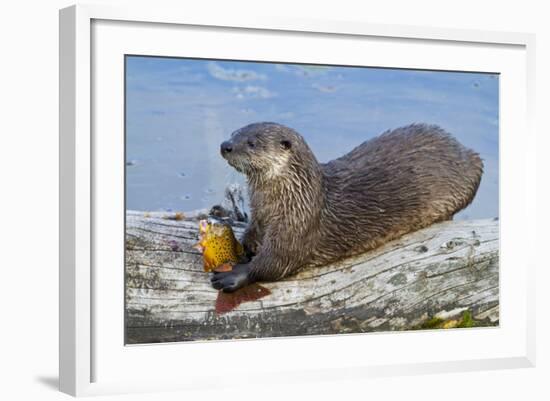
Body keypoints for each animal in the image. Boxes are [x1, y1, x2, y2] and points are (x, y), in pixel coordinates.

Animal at [211, 121, 484, 290]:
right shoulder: (259, 215)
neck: (291, 197)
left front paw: (234, 274)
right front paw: (239, 248)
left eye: (252, 142)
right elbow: (251, 237)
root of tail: (463, 149)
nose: (225, 145)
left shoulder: (299, 225)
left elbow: (276, 261)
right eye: (235, 133)